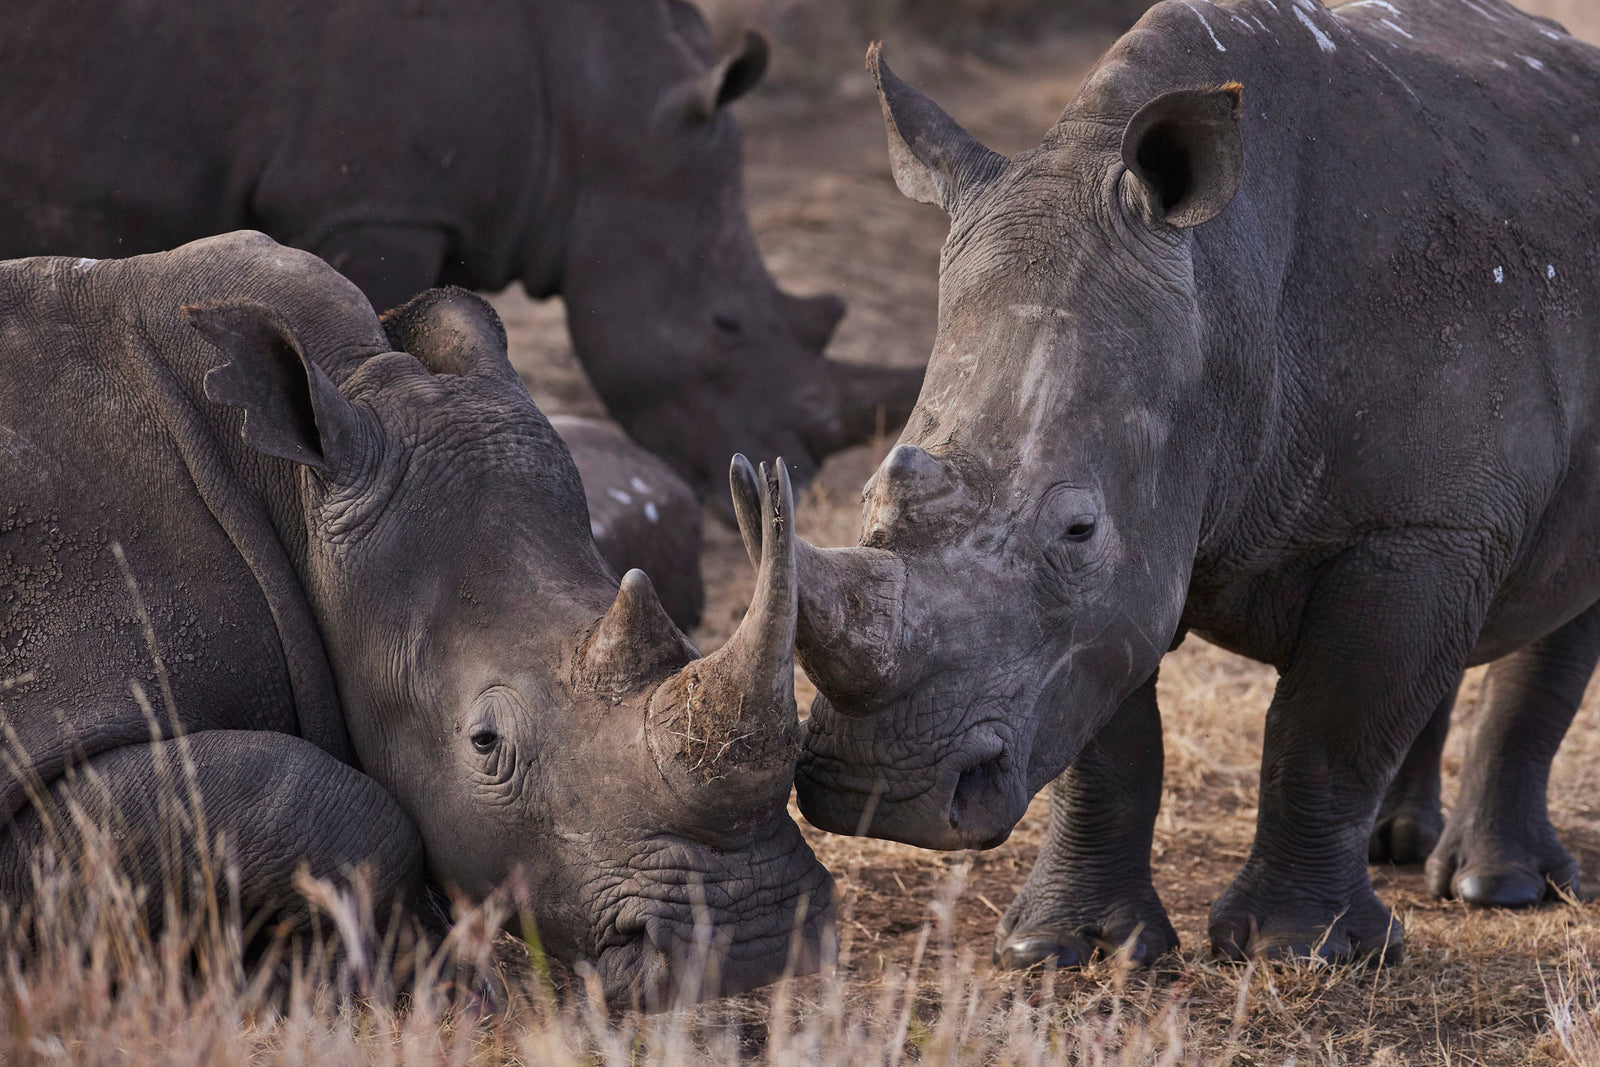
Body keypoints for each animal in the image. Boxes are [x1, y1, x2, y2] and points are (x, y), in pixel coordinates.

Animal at [755, 0, 1600, 967]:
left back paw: (1498, 890)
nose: (876, 788)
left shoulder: (1416, 525)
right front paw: (1069, 948)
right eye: (866, 500)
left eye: (1076, 530)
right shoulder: (1147, 523)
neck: (1224, 293)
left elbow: (1328, 726)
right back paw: (1398, 849)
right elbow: (1105, 728)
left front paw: (1299, 952)